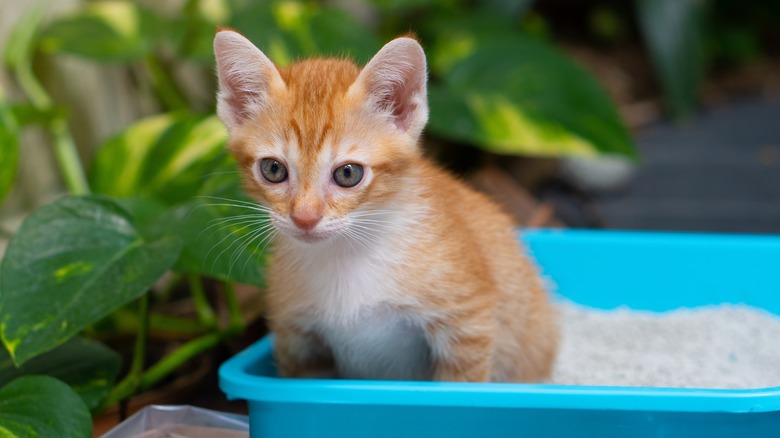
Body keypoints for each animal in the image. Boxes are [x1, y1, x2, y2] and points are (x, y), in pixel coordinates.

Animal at [210, 30, 556, 380]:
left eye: (348, 173)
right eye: (273, 169)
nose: (304, 218)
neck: (345, 255)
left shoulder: (468, 321)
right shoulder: (297, 339)